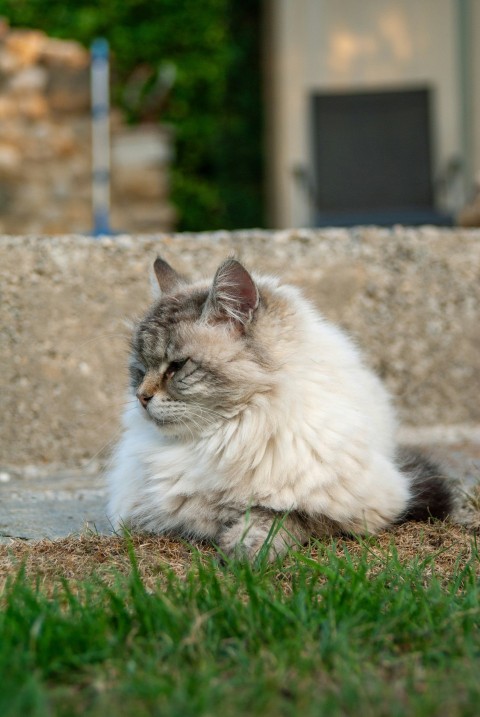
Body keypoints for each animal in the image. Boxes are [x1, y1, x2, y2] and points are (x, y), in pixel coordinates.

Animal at [106, 256, 454, 560]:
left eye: (177, 367)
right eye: (139, 370)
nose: (142, 397)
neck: (230, 434)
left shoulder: (358, 507)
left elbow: (280, 515)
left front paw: (244, 548)